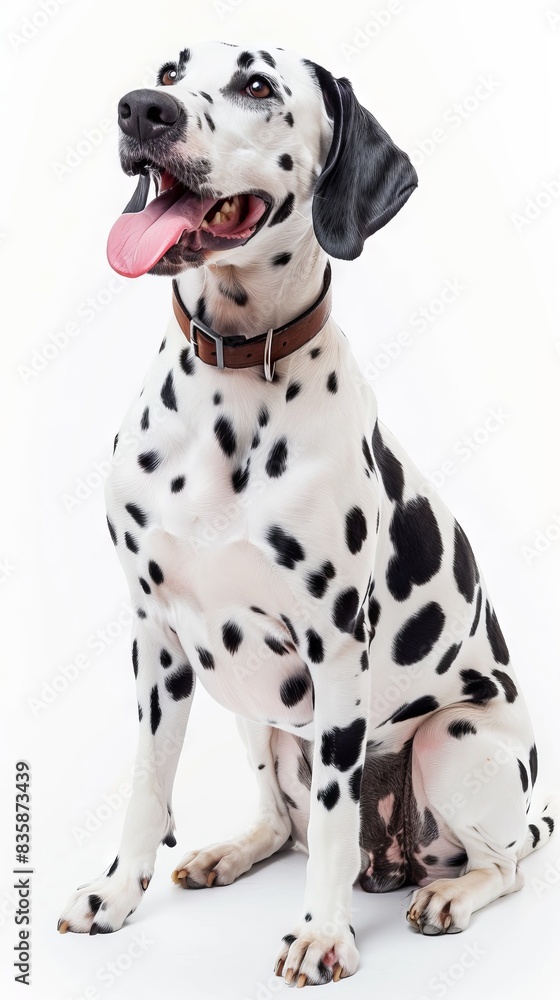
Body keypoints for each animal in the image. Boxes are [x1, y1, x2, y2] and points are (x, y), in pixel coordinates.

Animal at [58, 43, 556, 988]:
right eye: (170, 71)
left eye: (257, 84)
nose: (140, 110)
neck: (234, 368)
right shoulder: (157, 638)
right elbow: (147, 783)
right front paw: (114, 893)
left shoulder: (334, 649)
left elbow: (329, 818)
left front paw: (321, 934)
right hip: (255, 712)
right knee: (281, 820)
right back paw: (234, 849)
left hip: (458, 736)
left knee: (506, 862)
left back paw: (450, 894)